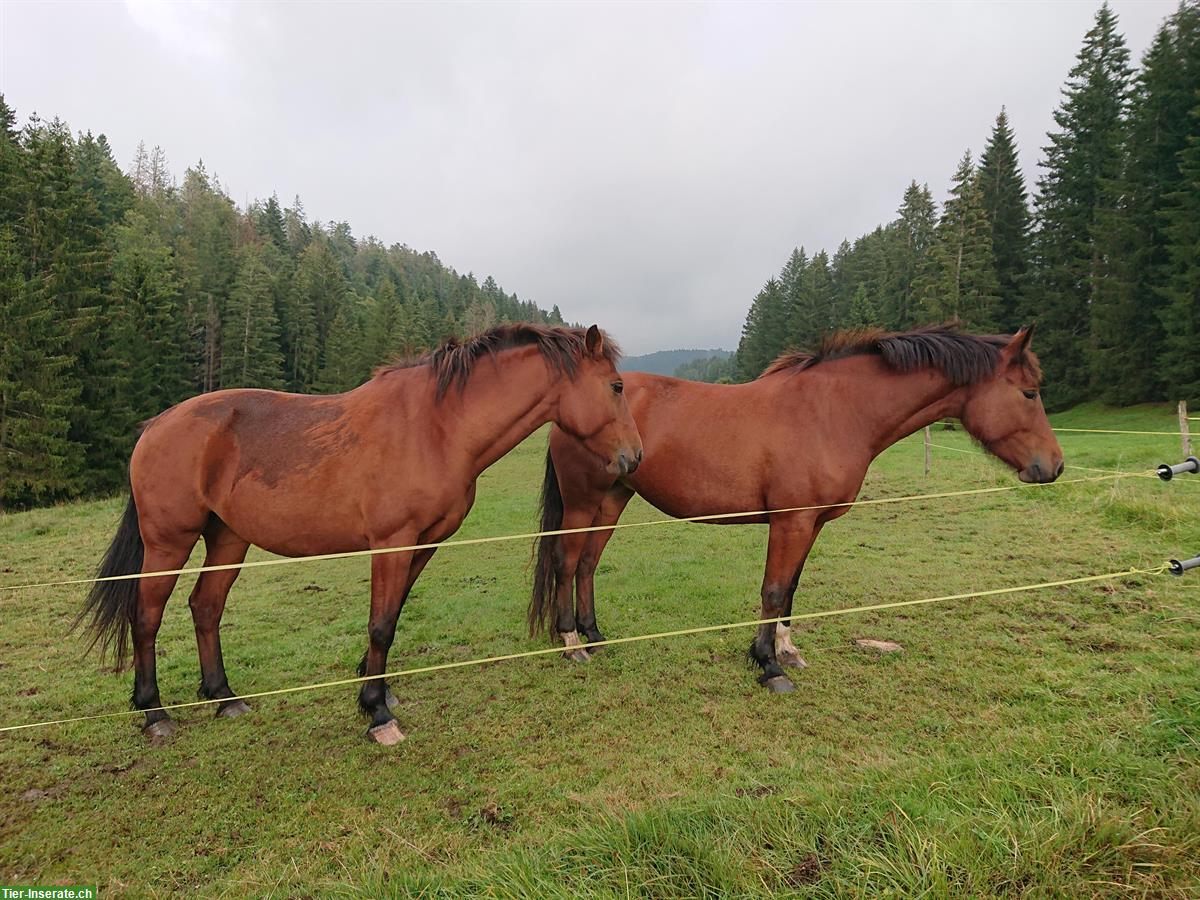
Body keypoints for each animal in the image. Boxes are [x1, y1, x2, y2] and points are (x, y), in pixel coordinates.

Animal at [79, 324, 643, 748]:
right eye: (616, 386)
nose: (634, 457)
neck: (437, 427)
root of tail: (157, 425)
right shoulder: (392, 543)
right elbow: (381, 626)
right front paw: (377, 715)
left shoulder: (423, 543)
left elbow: (390, 616)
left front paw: (375, 691)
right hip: (168, 542)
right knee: (146, 616)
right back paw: (154, 713)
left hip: (228, 539)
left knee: (205, 607)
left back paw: (223, 697)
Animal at [530, 328, 1065, 696]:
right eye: (1029, 392)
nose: (1054, 466)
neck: (832, 413)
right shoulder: (791, 521)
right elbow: (772, 590)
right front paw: (767, 665)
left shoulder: (812, 524)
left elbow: (791, 589)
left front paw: (787, 650)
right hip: (583, 501)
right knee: (566, 561)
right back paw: (571, 644)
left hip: (614, 498)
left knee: (588, 564)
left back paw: (595, 635)